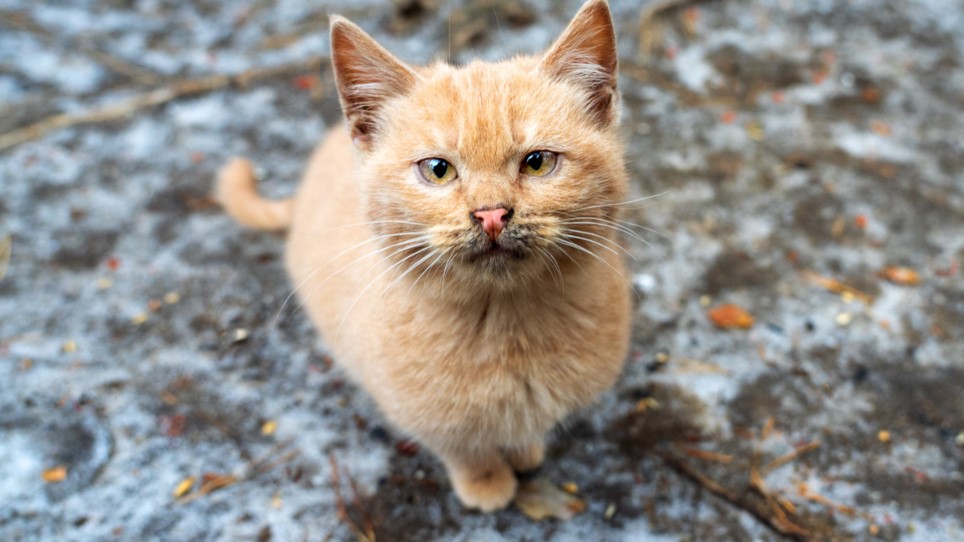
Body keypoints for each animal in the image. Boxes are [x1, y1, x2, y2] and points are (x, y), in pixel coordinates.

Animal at [215, 0, 628, 516]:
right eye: (438, 170)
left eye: (537, 162)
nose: (491, 214)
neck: (504, 325)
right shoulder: (419, 414)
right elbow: (464, 447)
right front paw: (487, 482)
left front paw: (523, 450)